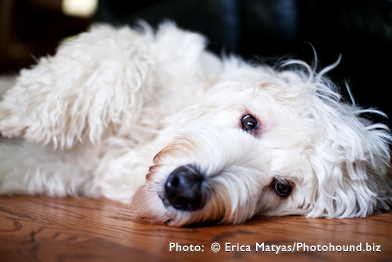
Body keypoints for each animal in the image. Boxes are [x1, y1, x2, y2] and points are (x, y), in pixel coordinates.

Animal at [0, 23, 392, 225]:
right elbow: (120, 51)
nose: (185, 189)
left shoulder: (59, 166)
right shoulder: (163, 55)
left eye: (282, 188)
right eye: (249, 121)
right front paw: (21, 108)